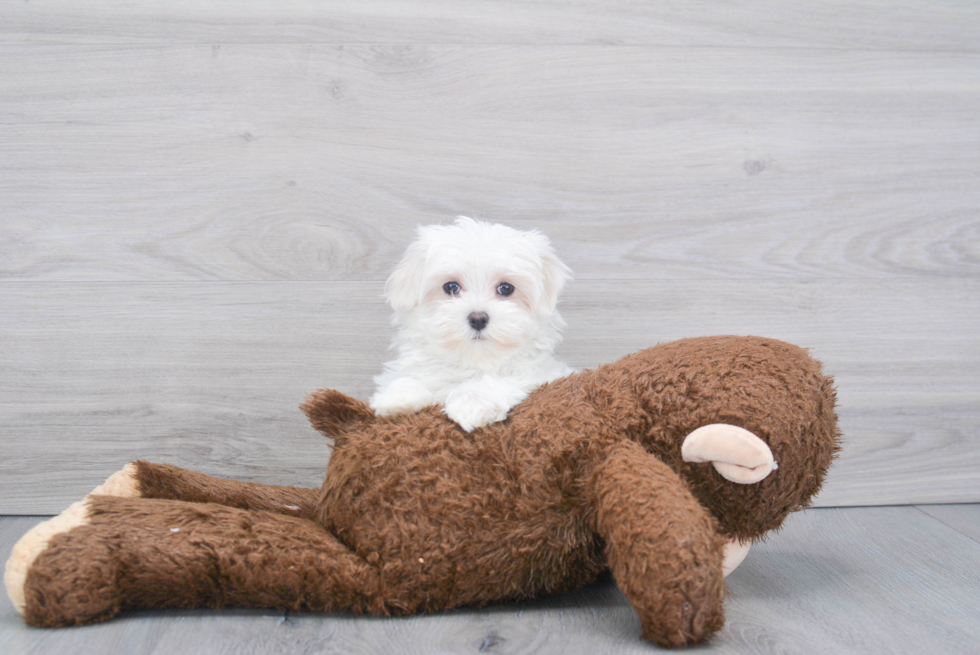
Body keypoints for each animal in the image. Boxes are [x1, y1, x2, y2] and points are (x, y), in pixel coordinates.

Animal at [374, 218, 576, 434]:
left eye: (506, 288)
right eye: (451, 287)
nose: (478, 318)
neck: (473, 362)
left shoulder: (543, 375)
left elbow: (501, 380)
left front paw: (471, 403)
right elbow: (405, 377)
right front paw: (398, 397)